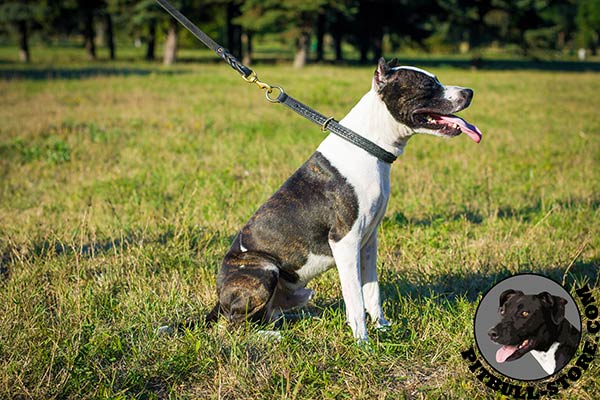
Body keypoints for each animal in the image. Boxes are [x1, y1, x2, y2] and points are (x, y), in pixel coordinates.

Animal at [206, 57, 482, 342]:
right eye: (428, 85)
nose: (469, 92)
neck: (367, 144)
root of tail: (220, 299)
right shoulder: (345, 241)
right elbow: (354, 297)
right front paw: (363, 343)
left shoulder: (368, 241)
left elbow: (371, 292)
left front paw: (382, 327)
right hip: (264, 269)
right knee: (236, 327)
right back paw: (272, 336)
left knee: (267, 315)